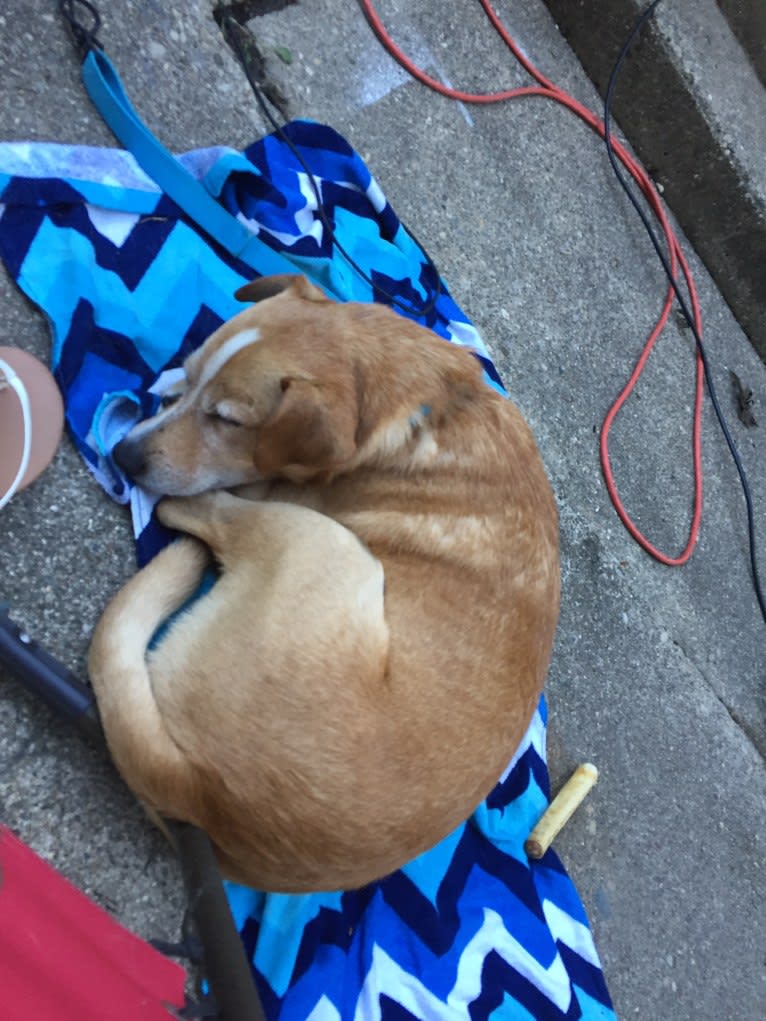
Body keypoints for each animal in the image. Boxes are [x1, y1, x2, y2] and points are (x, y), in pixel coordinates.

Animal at [88, 275, 559, 890]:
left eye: (227, 420)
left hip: (332, 547)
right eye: (192, 378)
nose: (123, 454)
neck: (426, 407)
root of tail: (200, 792)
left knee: (193, 512)